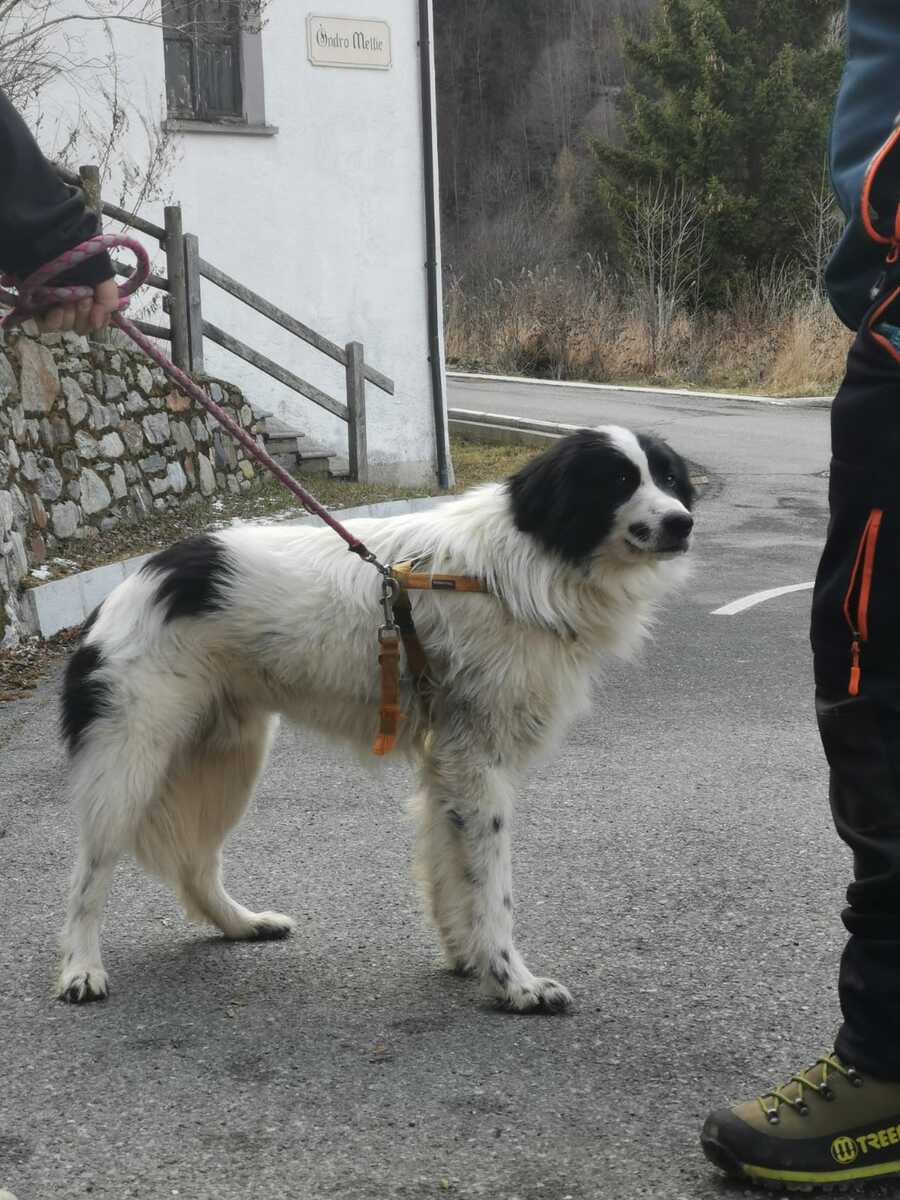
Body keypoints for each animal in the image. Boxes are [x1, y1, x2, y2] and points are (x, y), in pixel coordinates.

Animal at [56, 426, 694, 1012]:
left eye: (667, 477)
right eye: (618, 481)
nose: (683, 522)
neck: (519, 567)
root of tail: (132, 586)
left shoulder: (448, 765)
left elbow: (448, 867)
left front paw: (464, 956)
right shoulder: (477, 765)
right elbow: (493, 887)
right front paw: (513, 982)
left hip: (230, 759)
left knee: (195, 864)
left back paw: (242, 924)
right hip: (130, 761)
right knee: (90, 873)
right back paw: (81, 967)